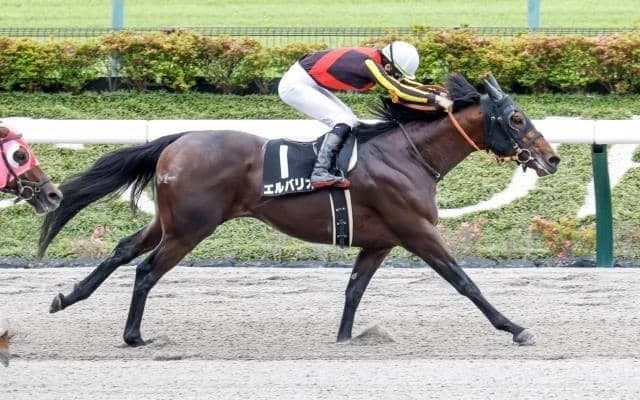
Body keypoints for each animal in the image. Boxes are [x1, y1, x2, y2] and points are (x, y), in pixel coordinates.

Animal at [39, 73, 560, 348]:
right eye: (516, 118)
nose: (552, 158)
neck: (408, 155)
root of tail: (178, 140)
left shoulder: (380, 240)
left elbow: (354, 290)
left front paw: (345, 338)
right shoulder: (417, 231)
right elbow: (464, 281)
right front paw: (516, 328)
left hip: (170, 221)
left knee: (123, 249)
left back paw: (67, 296)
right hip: (190, 229)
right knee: (146, 270)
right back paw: (133, 335)